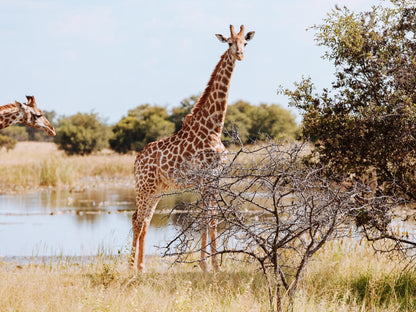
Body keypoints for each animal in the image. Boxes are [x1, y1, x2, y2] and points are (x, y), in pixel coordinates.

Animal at [132, 25, 254, 272]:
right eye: (229, 43)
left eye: (245, 43)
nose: (239, 55)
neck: (214, 128)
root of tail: (136, 161)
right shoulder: (206, 177)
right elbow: (209, 218)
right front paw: (209, 265)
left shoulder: (215, 178)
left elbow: (211, 217)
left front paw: (211, 265)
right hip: (143, 187)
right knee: (137, 220)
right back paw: (131, 268)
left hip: (157, 190)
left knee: (145, 220)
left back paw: (141, 268)